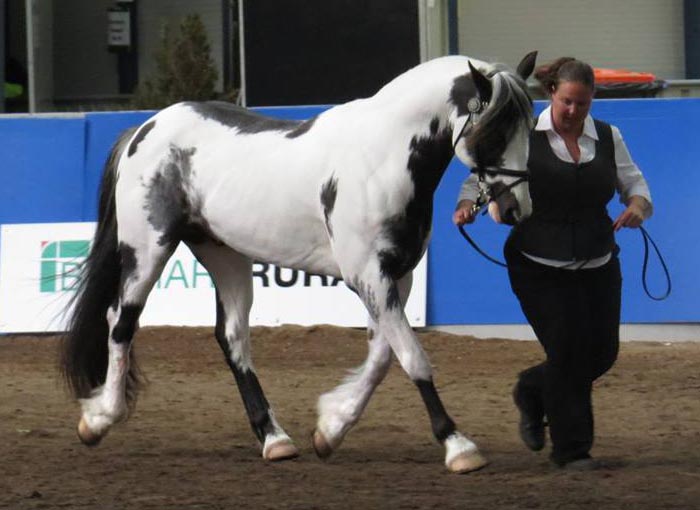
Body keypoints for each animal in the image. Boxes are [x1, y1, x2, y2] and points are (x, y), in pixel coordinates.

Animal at [60, 51, 540, 474]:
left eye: (529, 128)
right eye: (495, 132)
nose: (515, 209)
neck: (380, 158)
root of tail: (146, 126)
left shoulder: (396, 278)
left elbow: (383, 357)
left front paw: (331, 428)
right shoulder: (369, 276)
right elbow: (412, 358)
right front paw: (458, 446)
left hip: (224, 254)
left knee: (232, 338)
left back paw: (275, 439)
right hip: (147, 249)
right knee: (120, 322)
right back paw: (100, 418)